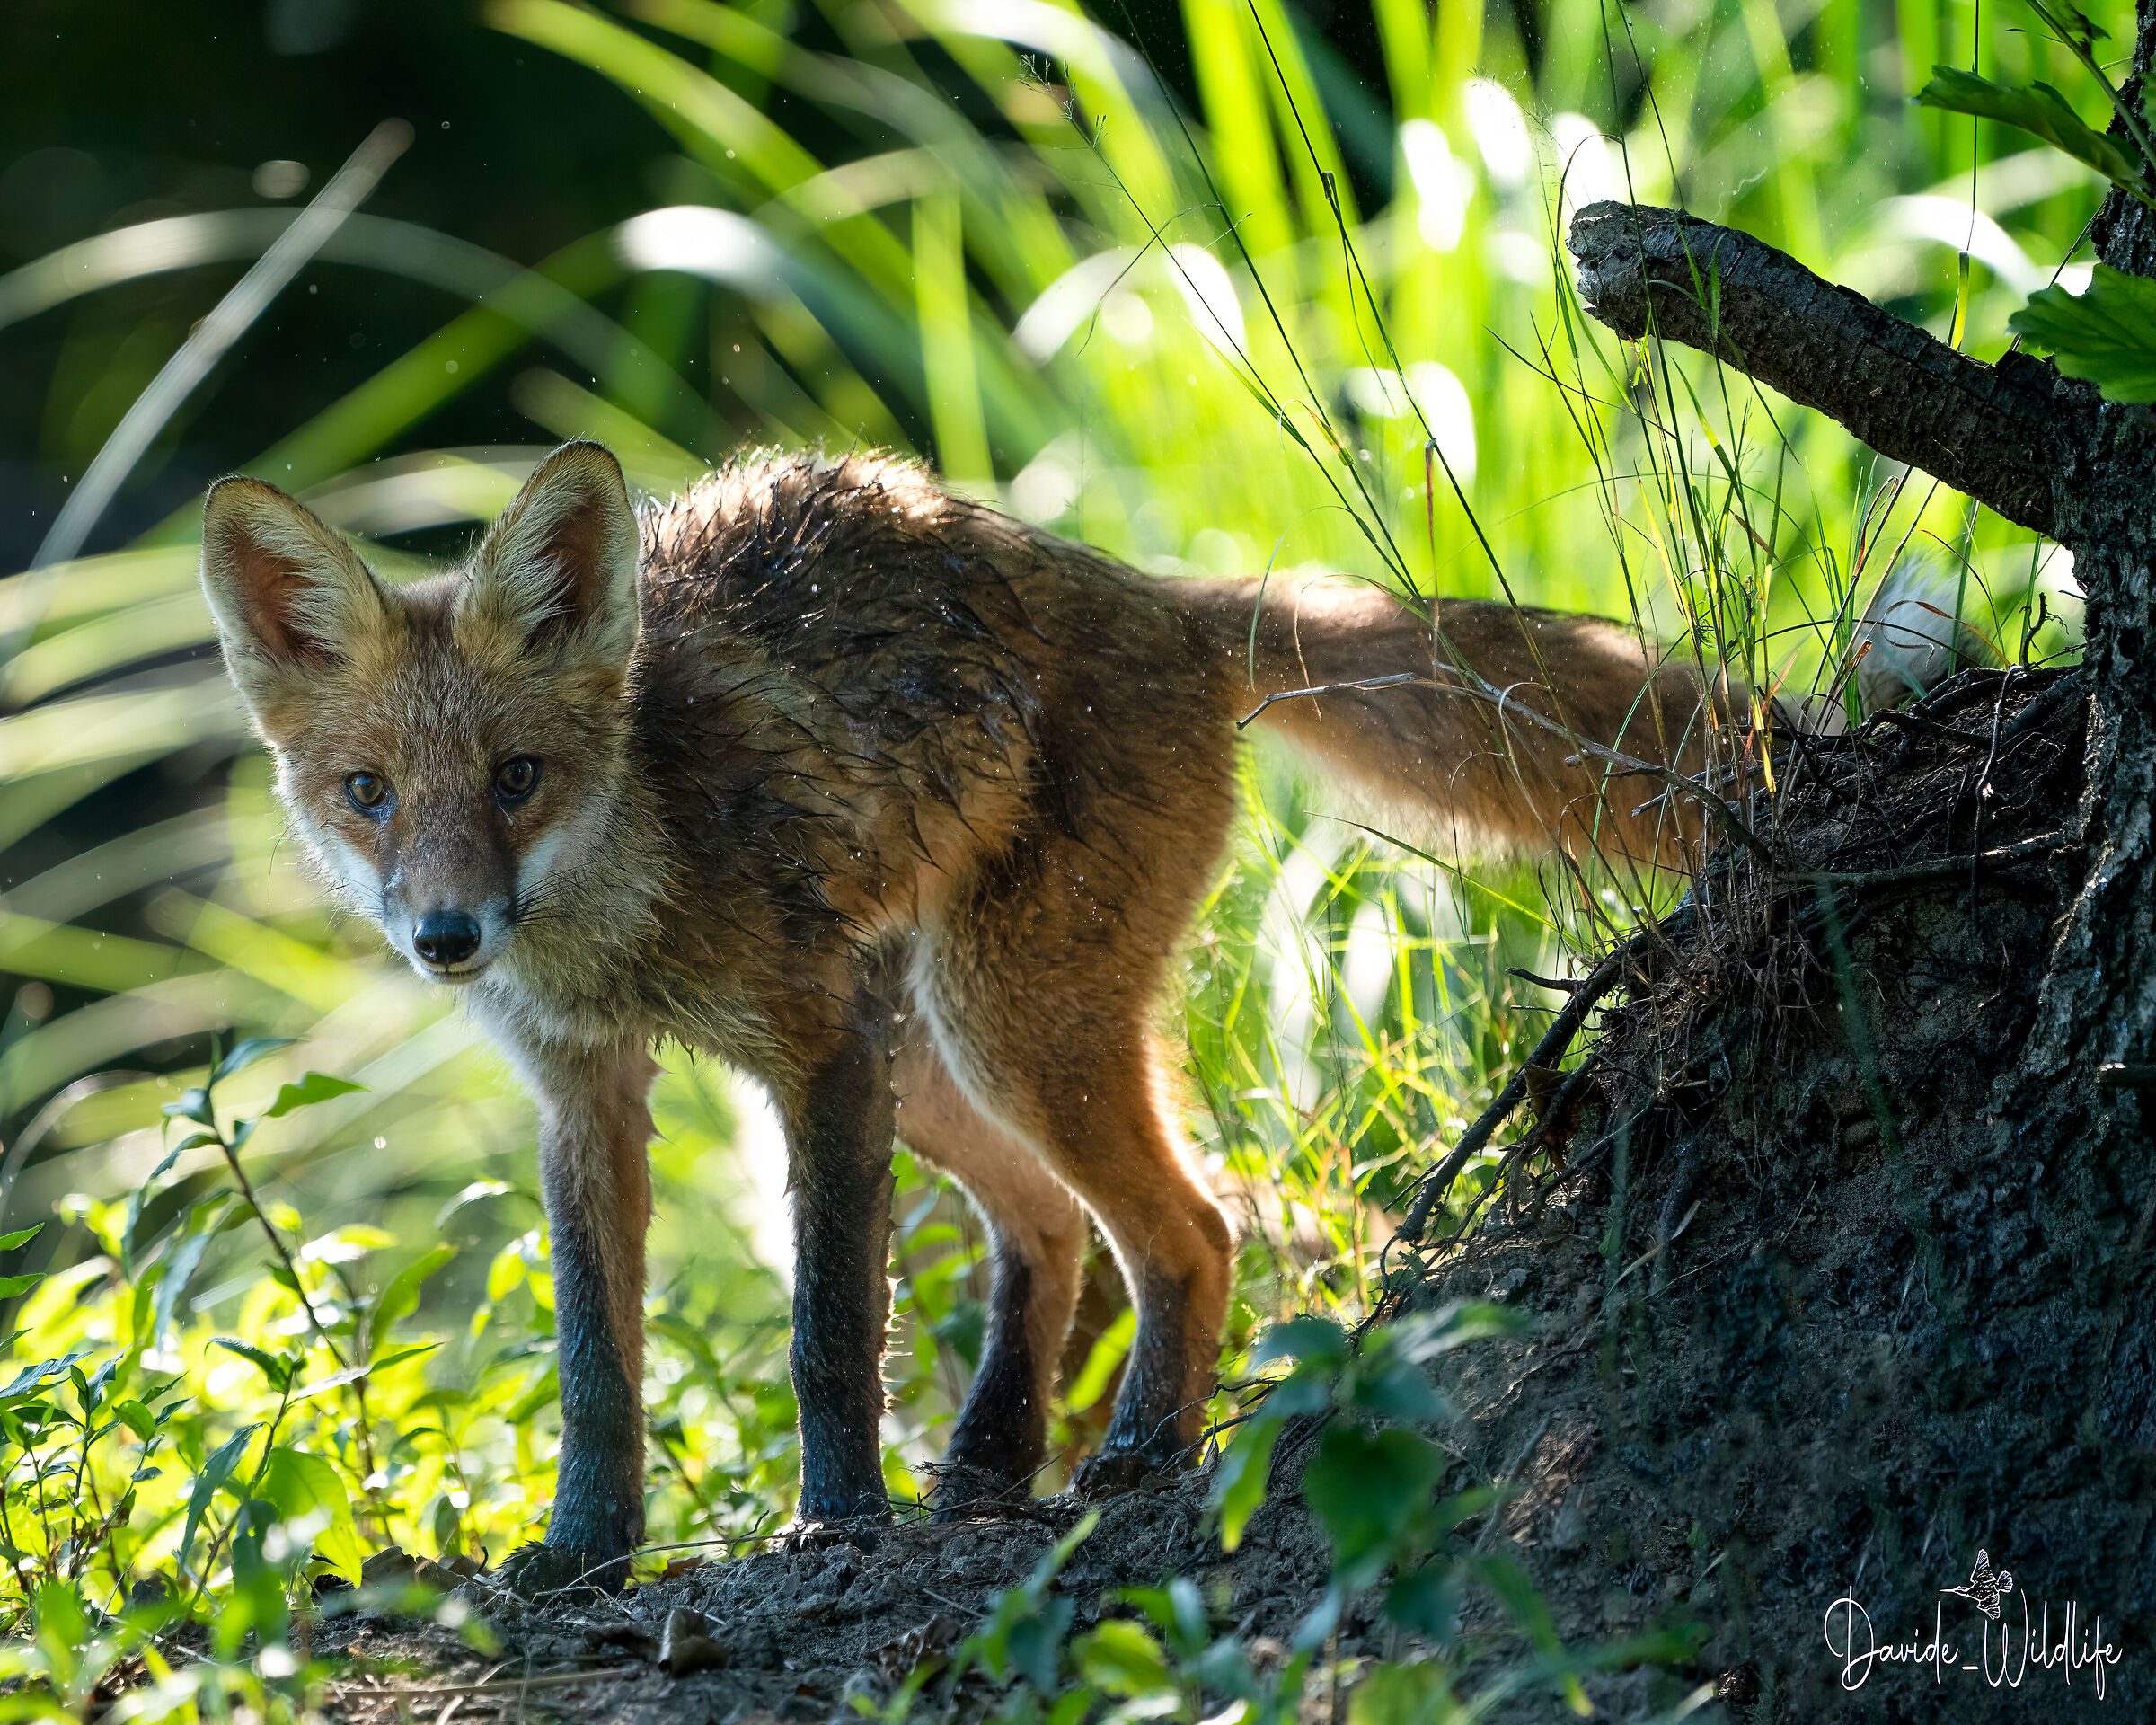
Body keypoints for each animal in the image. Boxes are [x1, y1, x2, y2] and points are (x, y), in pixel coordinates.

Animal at [197, 440, 1964, 1590]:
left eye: (517, 778)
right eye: (367, 795)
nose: (444, 936)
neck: (625, 901)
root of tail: (1168, 598)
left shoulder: (813, 1040)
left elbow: (826, 1330)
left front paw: (835, 1523)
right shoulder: (585, 1093)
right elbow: (593, 1364)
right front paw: (583, 1553)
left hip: (990, 1023)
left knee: (1196, 1227)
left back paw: (1135, 1456)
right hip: (942, 1060)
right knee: (1051, 1233)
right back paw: (996, 1462)